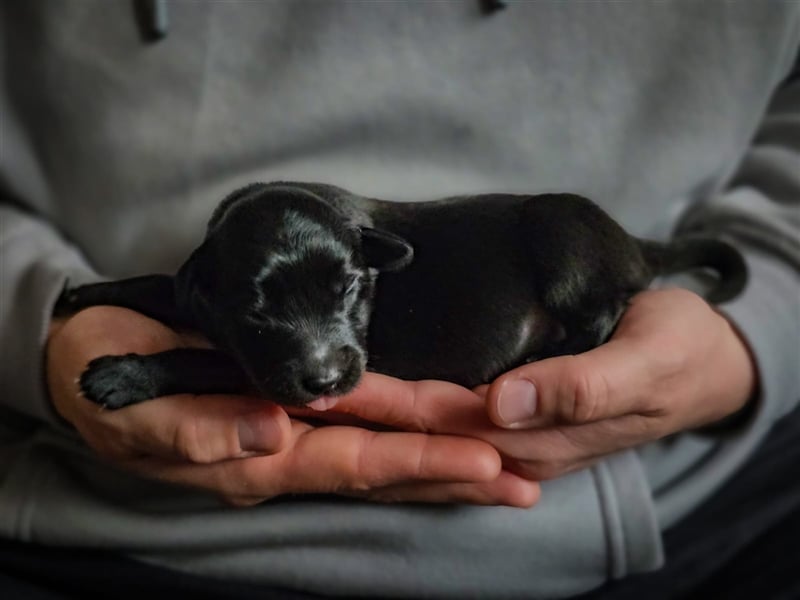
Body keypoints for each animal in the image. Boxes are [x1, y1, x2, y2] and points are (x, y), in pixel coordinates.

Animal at [54, 180, 744, 410]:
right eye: (257, 311)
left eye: (350, 288)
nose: (327, 381)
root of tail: (633, 241)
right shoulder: (207, 302)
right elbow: (158, 286)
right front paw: (84, 293)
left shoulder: (257, 370)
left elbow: (199, 358)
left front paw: (123, 376)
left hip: (561, 232)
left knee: (602, 315)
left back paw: (534, 358)